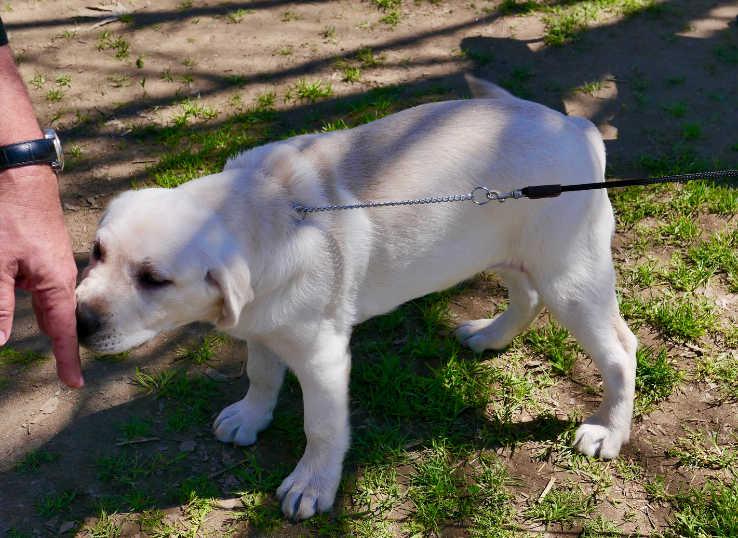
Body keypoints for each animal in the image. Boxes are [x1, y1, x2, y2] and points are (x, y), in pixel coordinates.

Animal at [76, 75, 640, 520]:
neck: (268, 206)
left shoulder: (322, 355)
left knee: (620, 350)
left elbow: (322, 426)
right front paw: (250, 417)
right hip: (507, 250)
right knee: (526, 298)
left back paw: (607, 431)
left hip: (570, 277)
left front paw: (312, 485)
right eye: (96, 251)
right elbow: (261, 374)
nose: (79, 320)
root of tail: (578, 127)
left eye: (154, 279)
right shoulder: (260, 320)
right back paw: (490, 335)